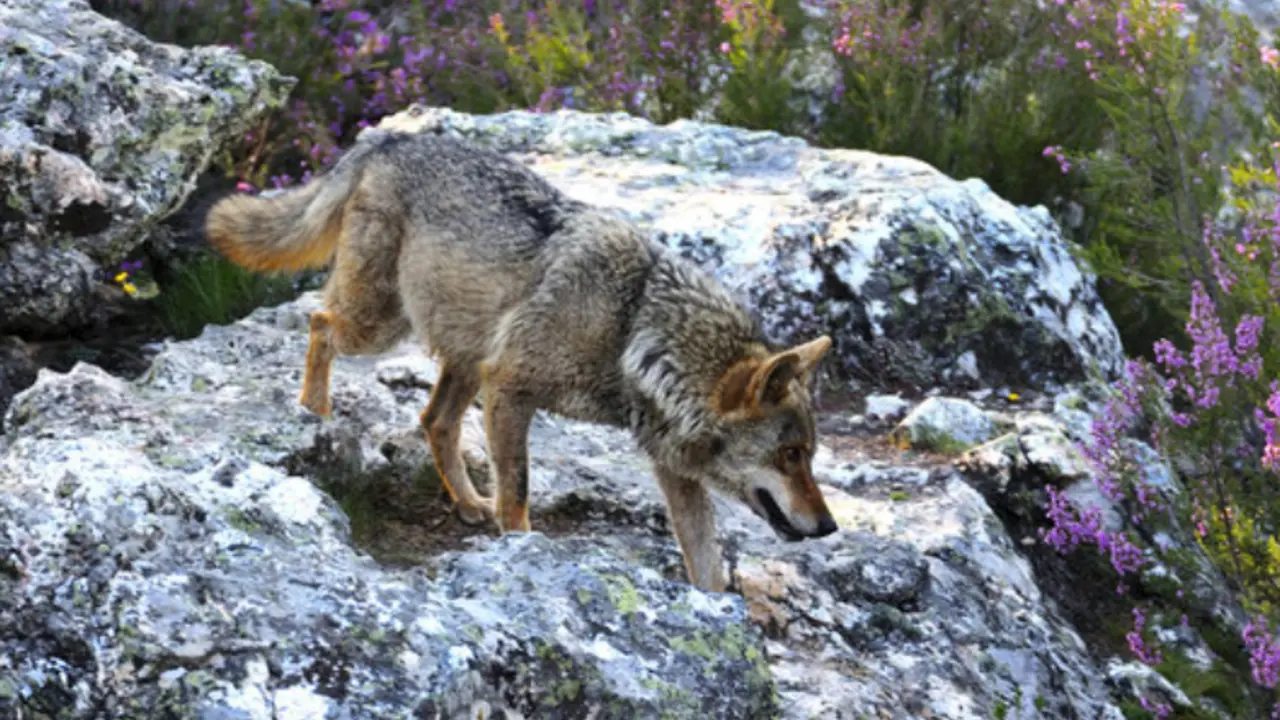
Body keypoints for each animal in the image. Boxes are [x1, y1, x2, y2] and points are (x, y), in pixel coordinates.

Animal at [204, 128, 839, 592]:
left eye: (808, 456)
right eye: (789, 455)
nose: (831, 527)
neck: (633, 330)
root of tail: (389, 138)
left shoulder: (671, 468)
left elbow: (704, 559)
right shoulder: (511, 390)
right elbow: (519, 492)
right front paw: (520, 549)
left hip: (462, 357)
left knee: (433, 421)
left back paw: (466, 503)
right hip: (382, 327)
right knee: (320, 323)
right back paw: (313, 411)